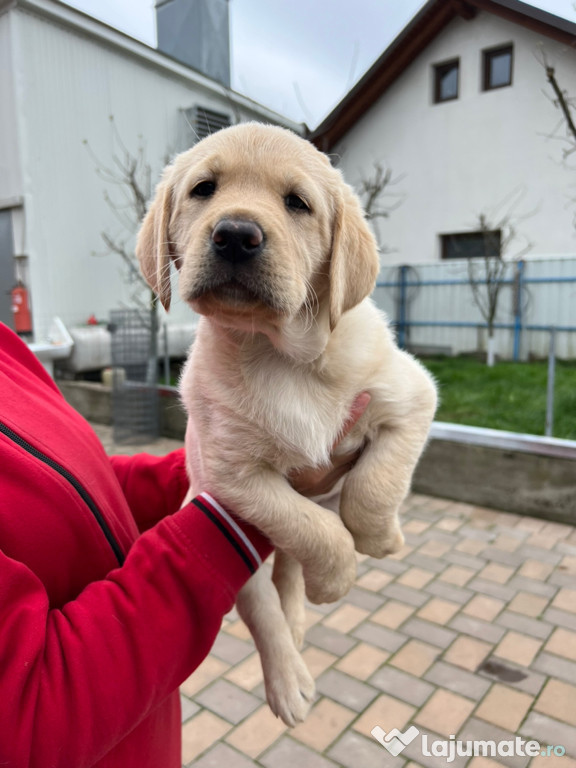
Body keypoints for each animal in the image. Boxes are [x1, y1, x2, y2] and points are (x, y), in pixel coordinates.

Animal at [137, 121, 438, 728]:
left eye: (297, 202)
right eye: (204, 189)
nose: (235, 234)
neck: (277, 353)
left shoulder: (412, 396)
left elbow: (370, 491)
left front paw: (382, 538)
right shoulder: (233, 477)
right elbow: (316, 529)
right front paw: (337, 581)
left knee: (288, 573)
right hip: (225, 541)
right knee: (266, 604)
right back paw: (289, 681)